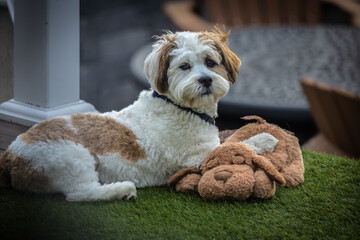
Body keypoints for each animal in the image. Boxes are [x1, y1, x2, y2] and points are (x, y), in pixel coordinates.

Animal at [0, 27, 242, 201]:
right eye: (184, 66)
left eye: (210, 62)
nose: (206, 80)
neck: (180, 106)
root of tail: (10, 155)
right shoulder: (195, 157)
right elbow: (237, 145)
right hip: (71, 156)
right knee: (80, 193)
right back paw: (122, 189)